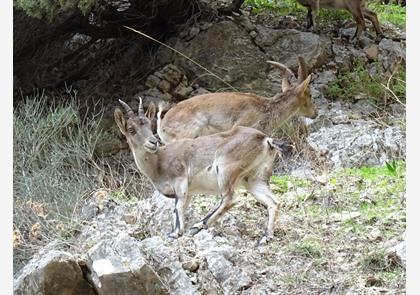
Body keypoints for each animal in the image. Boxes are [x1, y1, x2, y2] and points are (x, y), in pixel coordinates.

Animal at [114, 98, 288, 244]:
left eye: (149, 125)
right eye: (131, 129)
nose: (153, 142)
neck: (159, 161)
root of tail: (266, 140)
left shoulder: (180, 180)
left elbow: (178, 207)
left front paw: (176, 233)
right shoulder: (188, 191)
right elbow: (179, 209)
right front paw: (175, 231)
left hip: (226, 169)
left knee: (230, 199)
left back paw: (198, 225)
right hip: (254, 179)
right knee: (274, 202)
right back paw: (266, 237)